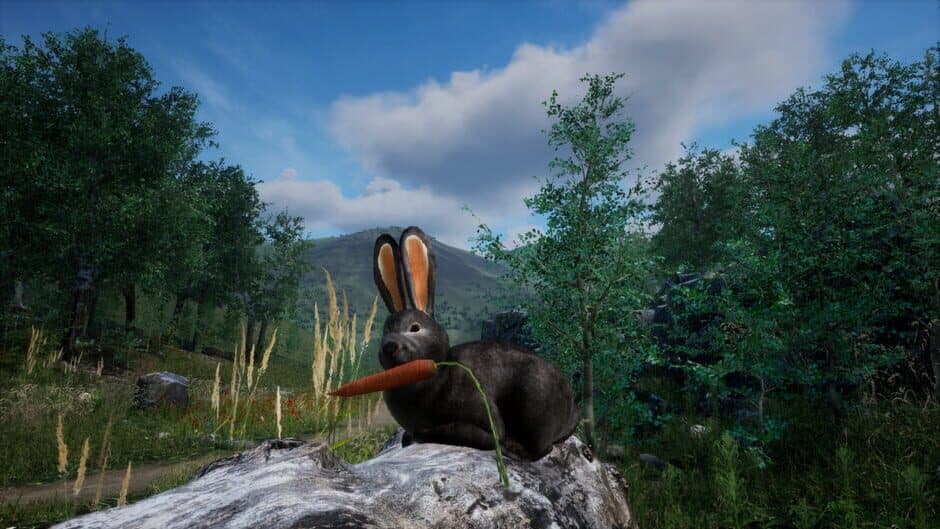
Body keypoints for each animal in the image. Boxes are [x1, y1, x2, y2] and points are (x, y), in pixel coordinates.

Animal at [373, 226, 579, 461]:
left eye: (415, 328)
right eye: (385, 330)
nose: (389, 346)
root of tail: (573, 409)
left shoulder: (481, 413)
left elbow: (467, 431)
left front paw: (420, 435)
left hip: (535, 401)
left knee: (541, 449)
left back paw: (513, 450)